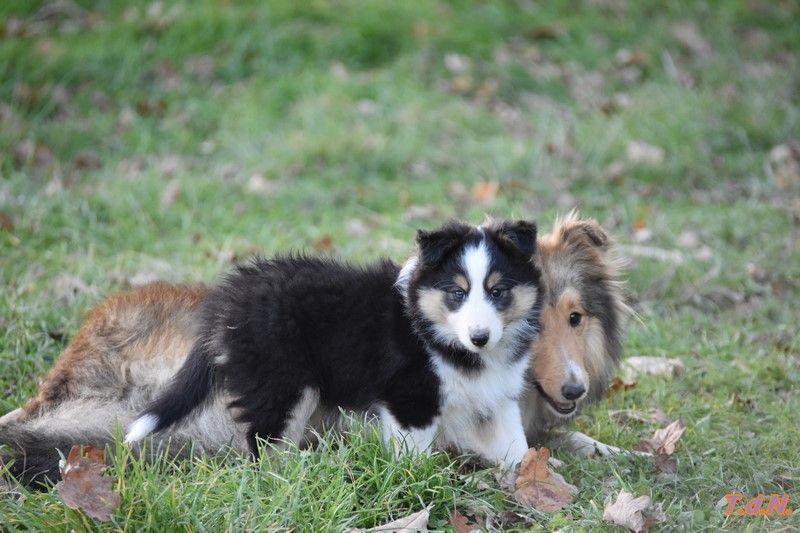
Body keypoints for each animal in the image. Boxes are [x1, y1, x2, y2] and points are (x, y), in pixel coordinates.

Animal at [126, 218, 544, 464]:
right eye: (457, 293)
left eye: (498, 292)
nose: (480, 338)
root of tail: (227, 302)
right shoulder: (410, 401)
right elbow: (412, 457)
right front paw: (416, 486)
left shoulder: (499, 398)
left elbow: (517, 449)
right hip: (281, 385)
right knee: (265, 443)